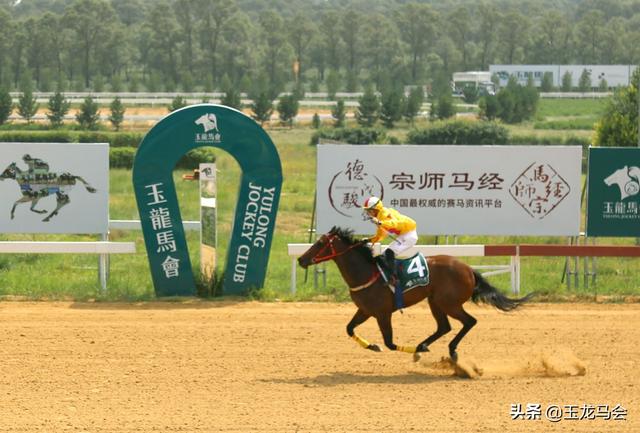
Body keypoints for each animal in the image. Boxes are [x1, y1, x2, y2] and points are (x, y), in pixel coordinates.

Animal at [298, 226, 532, 362]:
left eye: (320, 243)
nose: (301, 259)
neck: (366, 273)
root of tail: (468, 269)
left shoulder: (383, 313)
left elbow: (390, 343)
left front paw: (415, 353)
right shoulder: (365, 310)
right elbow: (349, 329)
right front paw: (373, 346)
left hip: (449, 303)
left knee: (469, 322)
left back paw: (448, 350)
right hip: (435, 301)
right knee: (444, 326)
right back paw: (425, 345)